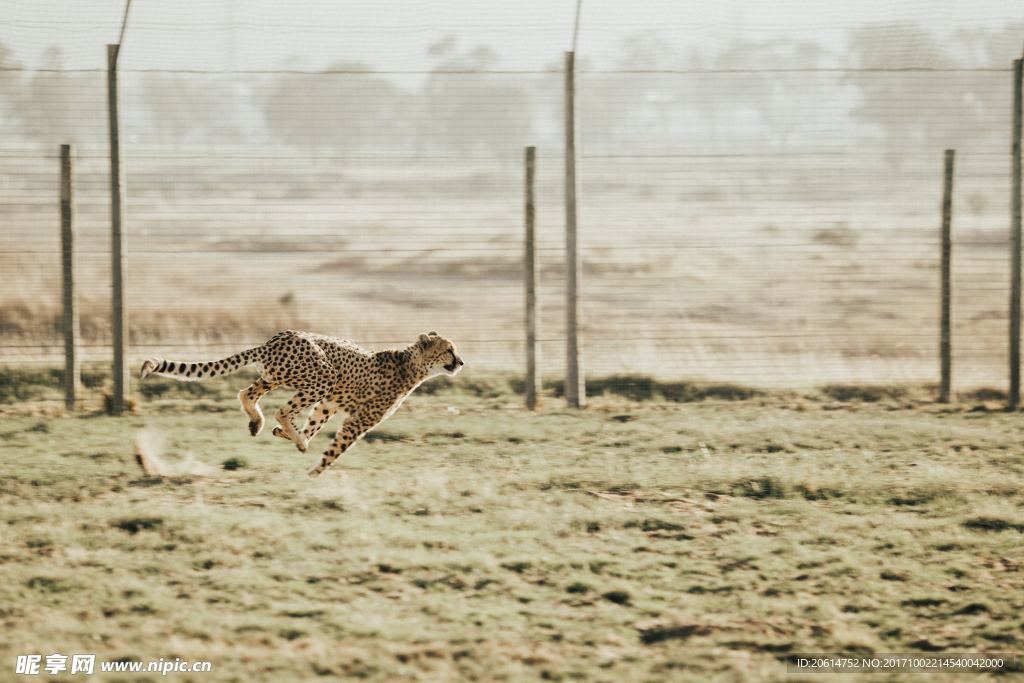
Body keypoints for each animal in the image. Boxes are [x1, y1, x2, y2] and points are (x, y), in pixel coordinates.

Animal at [138, 331, 466, 475]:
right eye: (449, 350)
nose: (461, 362)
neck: (411, 364)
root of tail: (275, 339)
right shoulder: (357, 420)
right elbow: (335, 449)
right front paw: (314, 471)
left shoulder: (329, 404)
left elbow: (315, 423)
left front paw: (293, 438)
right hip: (323, 376)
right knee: (281, 409)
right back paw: (289, 434)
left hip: (278, 376)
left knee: (247, 393)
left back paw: (261, 424)